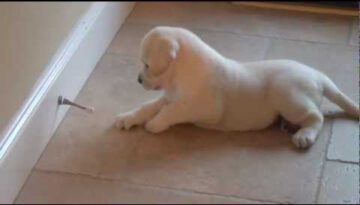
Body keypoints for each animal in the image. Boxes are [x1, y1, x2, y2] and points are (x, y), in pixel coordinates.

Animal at [114, 26, 358, 149]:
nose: (138, 79)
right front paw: (128, 118)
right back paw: (288, 126)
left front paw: (156, 123)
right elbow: (148, 106)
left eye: (147, 64)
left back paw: (304, 135)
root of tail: (319, 75)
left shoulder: (204, 108)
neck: (182, 75)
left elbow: (174, 110)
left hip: (288, 95)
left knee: (316, 116)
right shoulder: (170, 96)